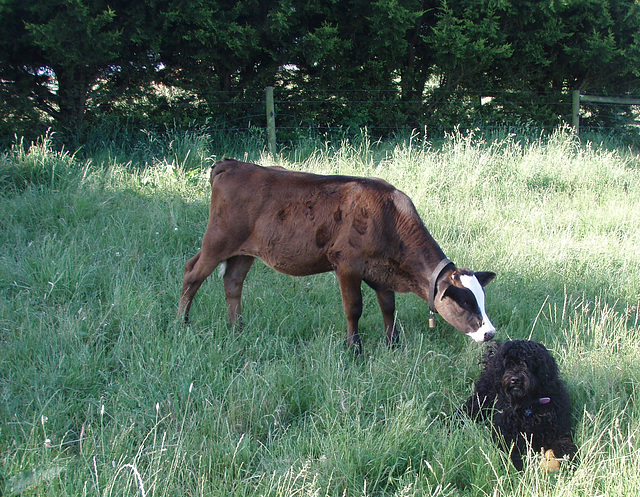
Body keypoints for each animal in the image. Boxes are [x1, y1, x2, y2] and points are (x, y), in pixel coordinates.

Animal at [178, 158, 498, 348]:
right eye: (464, 302)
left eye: (482, 298)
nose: (490, 333)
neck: (388, 216)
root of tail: (232, 164)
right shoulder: (347, 265)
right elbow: (353, 308)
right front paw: (354, 349)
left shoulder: (382, 272)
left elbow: (388, 307)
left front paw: (392, 344)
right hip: (217, 240)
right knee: (191, 273)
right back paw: (181, 323)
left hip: (245, 251)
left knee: (232, 282)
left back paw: (237, 329)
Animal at [462, 340, 576, 470]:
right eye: (508, 364)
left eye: (526, 363)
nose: (515, 379)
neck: (527, 405)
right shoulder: (505, 435)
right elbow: (511, 453)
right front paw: (517, 468)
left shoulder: (559, 432)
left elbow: (565, 446)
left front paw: (569, 464)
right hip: (481, 399)